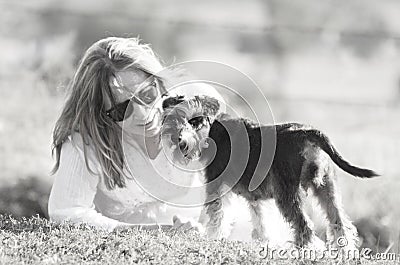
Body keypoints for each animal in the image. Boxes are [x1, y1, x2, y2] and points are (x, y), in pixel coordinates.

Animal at [160, 95, 378, 248]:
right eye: (172, 119)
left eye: (193, 121)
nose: (178, 139)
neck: (211, 130)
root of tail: (307, 133)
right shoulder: (254, 197)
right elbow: (260, 221)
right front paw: (263, 241)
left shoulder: (216, 188)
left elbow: (218, 216)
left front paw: (213, 237)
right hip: (326, 189)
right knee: (340, 223)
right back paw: (344, 251)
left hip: (287, 195)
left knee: (305, 226)